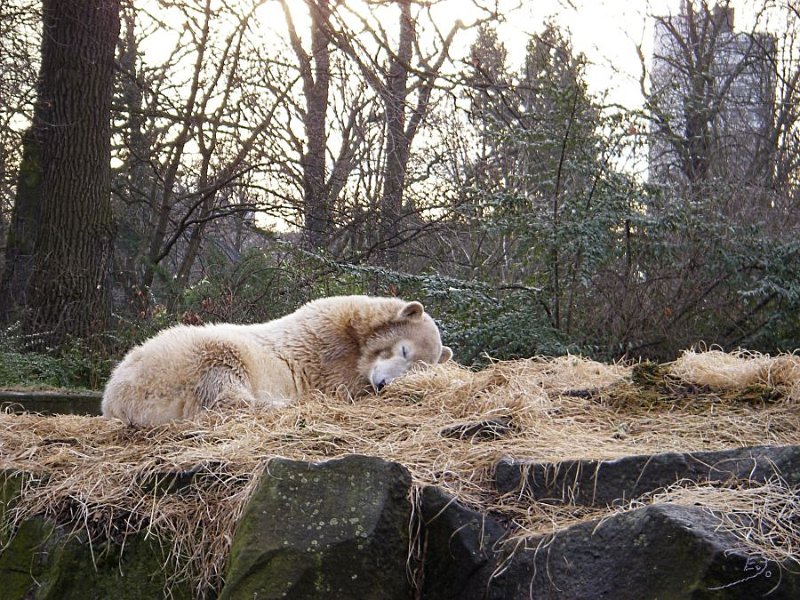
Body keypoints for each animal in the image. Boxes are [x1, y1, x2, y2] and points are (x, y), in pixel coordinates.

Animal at [101, 296, 450, 426]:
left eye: (417, 370)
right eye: (404, 351)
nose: (383, 384)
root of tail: (114, 396)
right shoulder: (330, 351)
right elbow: (341, 386)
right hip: (191, 355)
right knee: (223, 383)